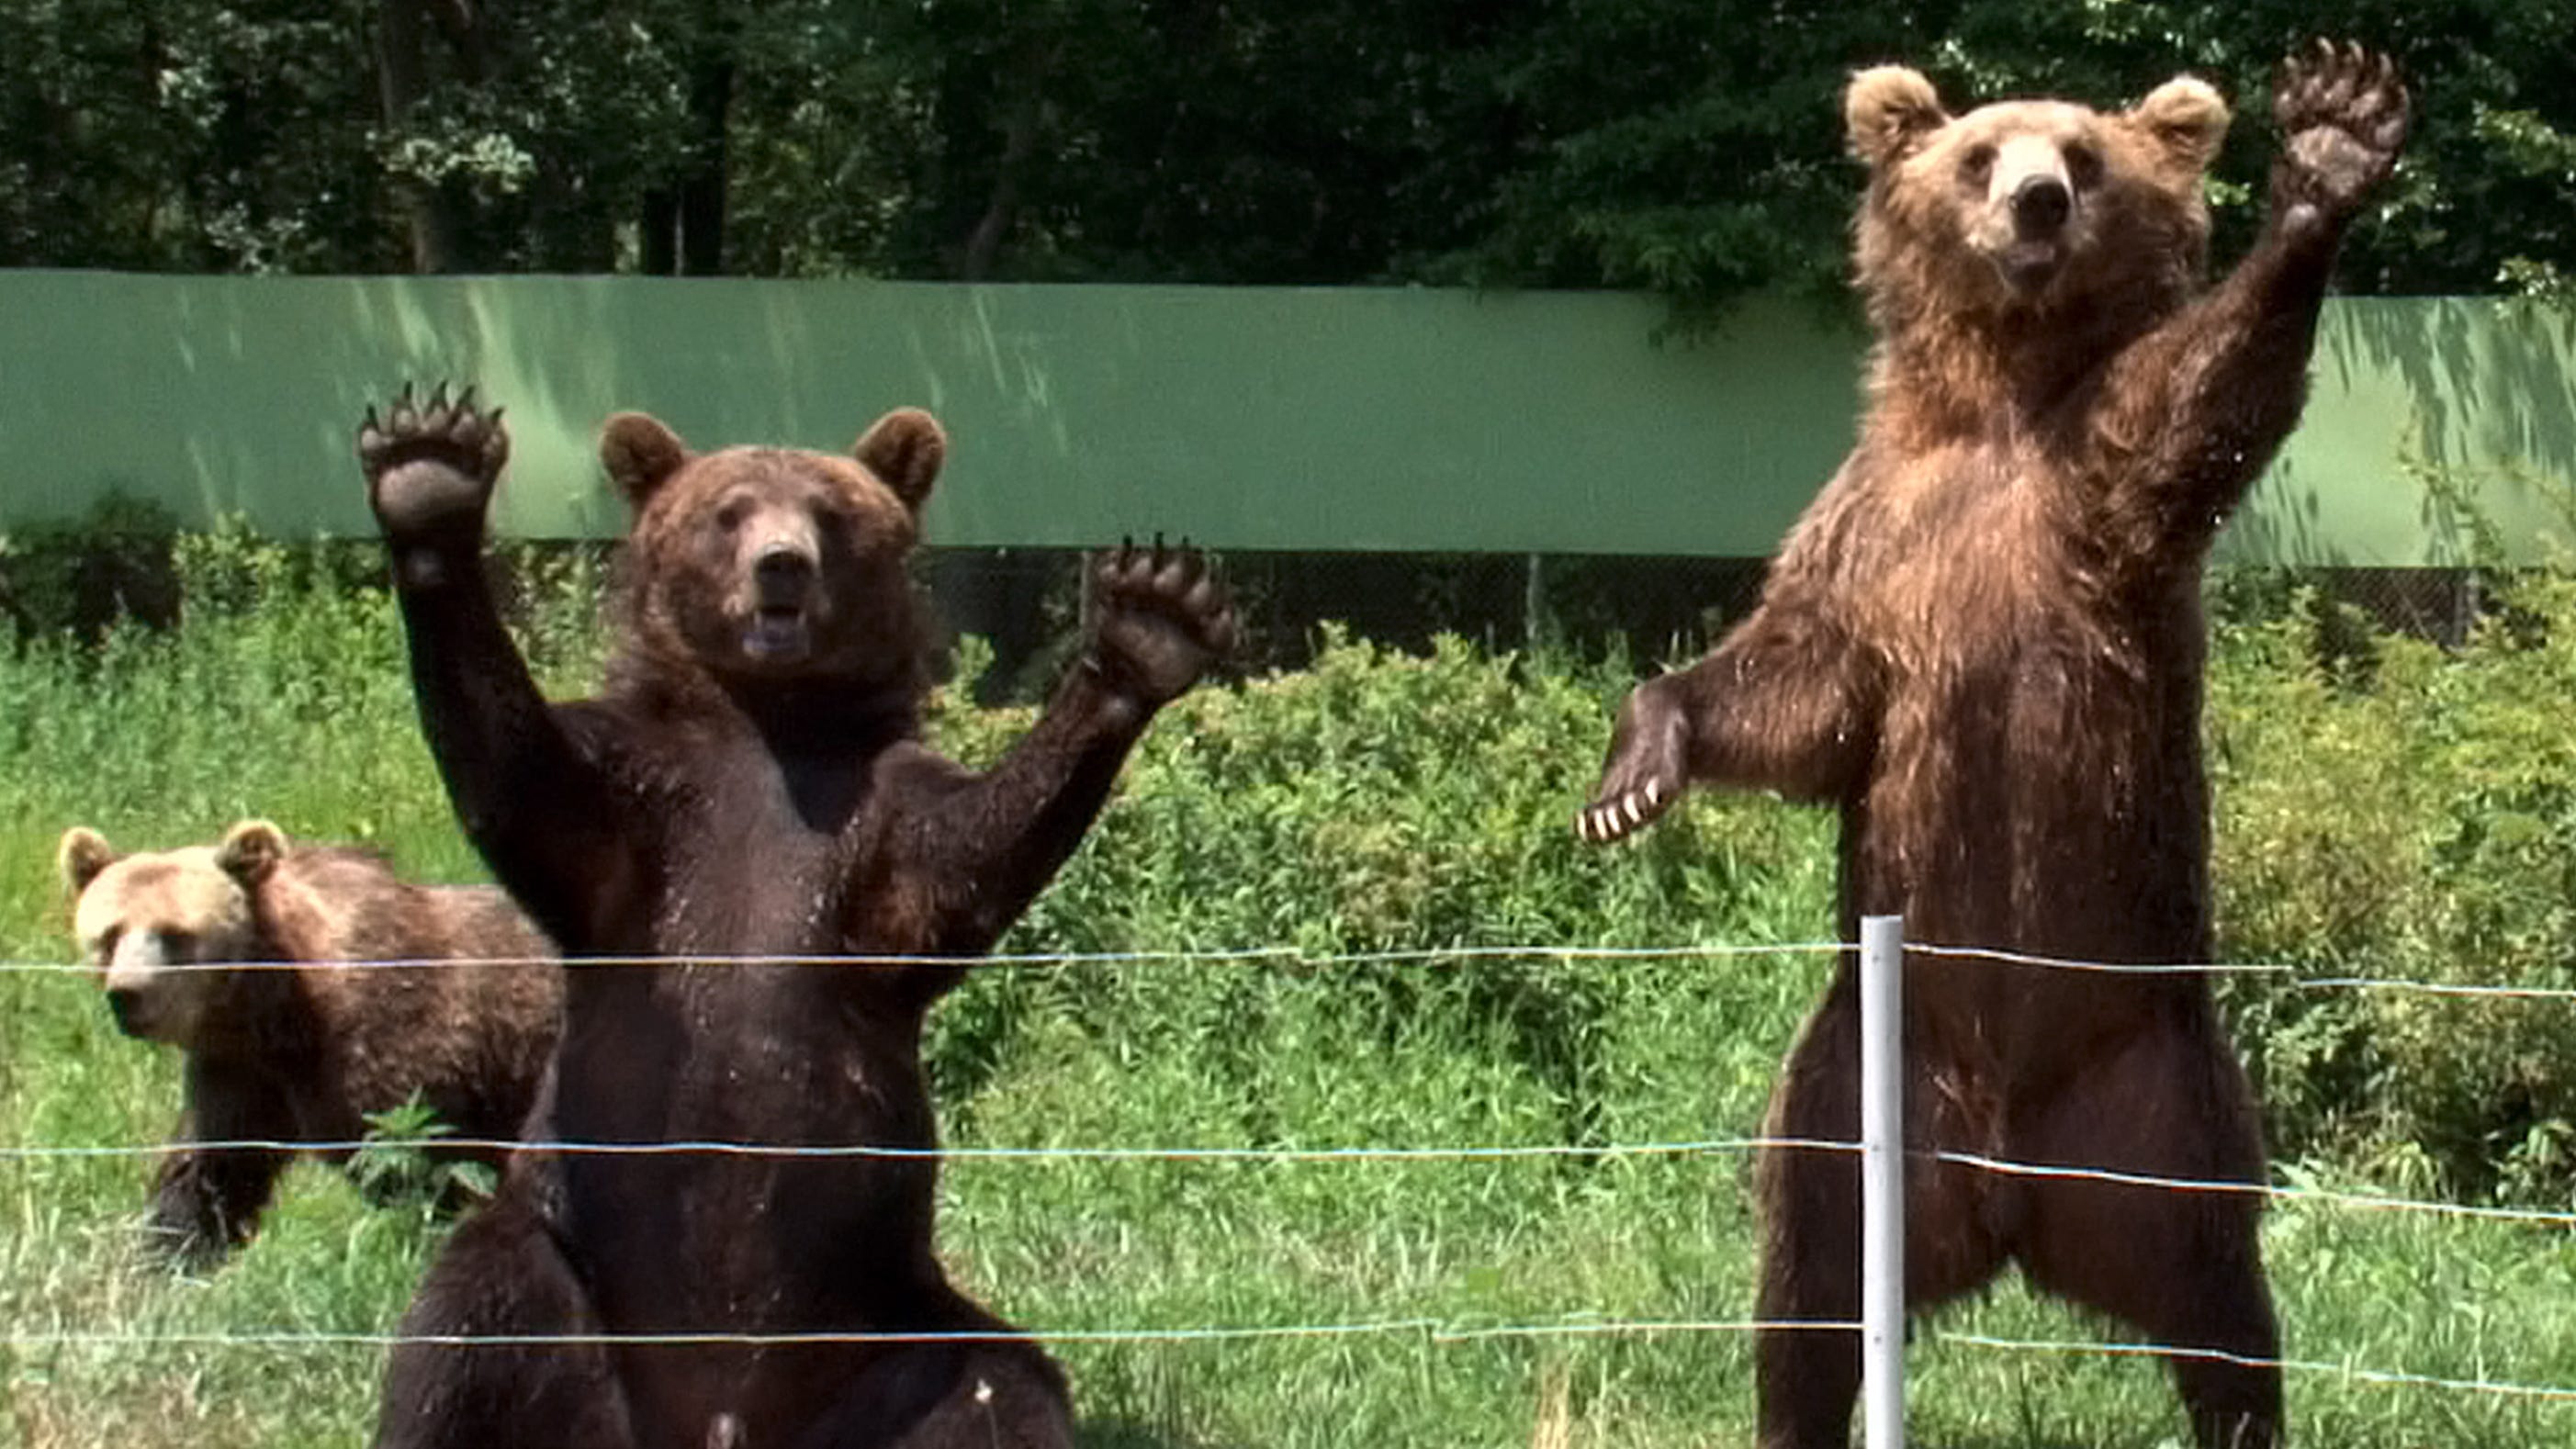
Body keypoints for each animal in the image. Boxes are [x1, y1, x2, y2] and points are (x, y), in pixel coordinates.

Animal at [55, 818, 558, 1271]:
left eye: (176, 935)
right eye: (109, 934)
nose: (127, 994)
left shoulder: (399, 1049)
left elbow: (416, 1164)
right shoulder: (240, 1072)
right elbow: (214, 1169)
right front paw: (167, 1254)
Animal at [350, 383, 1226, 1449]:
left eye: (830, 513)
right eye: (729, 511)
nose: (782, 565)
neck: (768, 723)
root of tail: (718, 1426)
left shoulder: (875, 821)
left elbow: (966, 863)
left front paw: (1149, 626)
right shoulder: (641, 811)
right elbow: (520, 783)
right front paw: (428, 475)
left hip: (891, 1325)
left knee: (1000, 1387)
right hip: (572, 1257)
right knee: (470, 1327)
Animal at [1566, 39, 2411, 1449]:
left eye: (2083, 155)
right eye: (1978, 152)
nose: (2037, 204)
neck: (2003, 402)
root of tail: (2013, 1204)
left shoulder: (2103, 494)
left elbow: (2205, 395)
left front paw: (2335, 139)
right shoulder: (1876, 534)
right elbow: (1800, 688)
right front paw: (1631, 775)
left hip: (2163, 1110)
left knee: (2226, 1313)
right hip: (1858, 1099)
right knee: (1806, 1293)